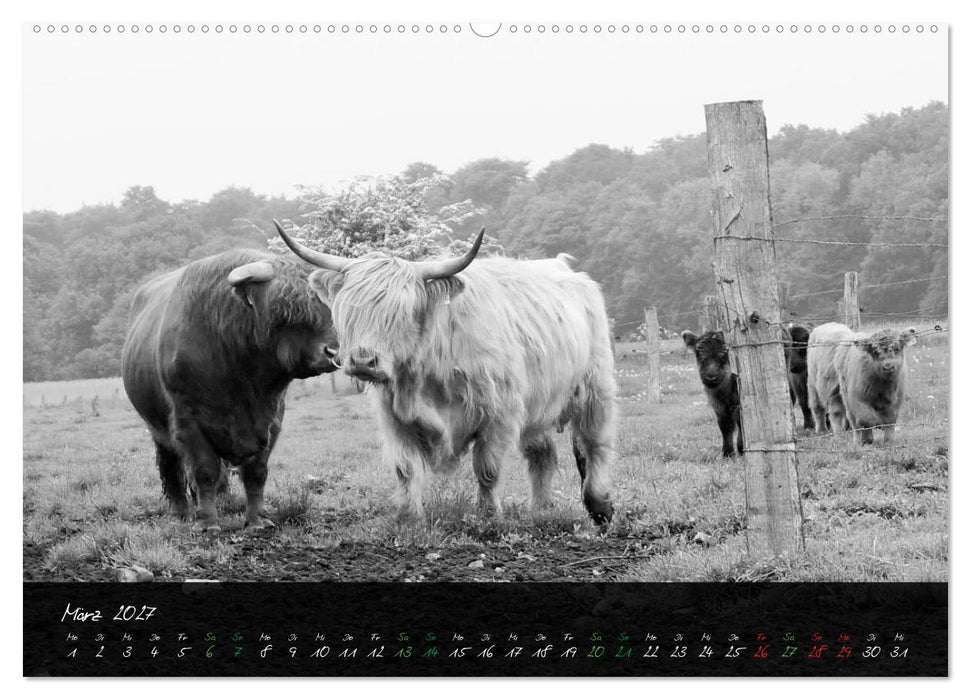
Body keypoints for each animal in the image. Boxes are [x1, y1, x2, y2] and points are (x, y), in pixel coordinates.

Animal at [121, 250, 339, 533]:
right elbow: (204, 471)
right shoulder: (188, 421)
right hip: (156, 427)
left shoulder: (271, 420)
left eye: (326, 306)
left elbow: (256, 472)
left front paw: (256, 520)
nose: (332, 352)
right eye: (285, 310)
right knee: (172, 467)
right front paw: (207, 523)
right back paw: (182, 511)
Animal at [275, 221, 617, 525]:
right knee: (542, 453)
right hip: (539, 402)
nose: (362, 361)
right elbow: (406, 469)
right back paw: (542, 508)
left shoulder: (499, 413)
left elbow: (487, 468)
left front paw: (489, 517)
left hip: (595, 387)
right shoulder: (395, 417)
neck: (426, 374)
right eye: (349, 310)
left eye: (401, 312)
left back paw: (599, 506)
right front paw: (408, 517)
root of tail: (565, 268)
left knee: (595, 443)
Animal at [681, 330, 743, 458]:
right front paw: (727, 453)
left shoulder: (739, 404)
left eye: (724, 352)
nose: (711, 377)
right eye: (698, 352)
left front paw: (742, 448)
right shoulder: (719, 407)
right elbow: (725, 426)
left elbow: (741, 423)